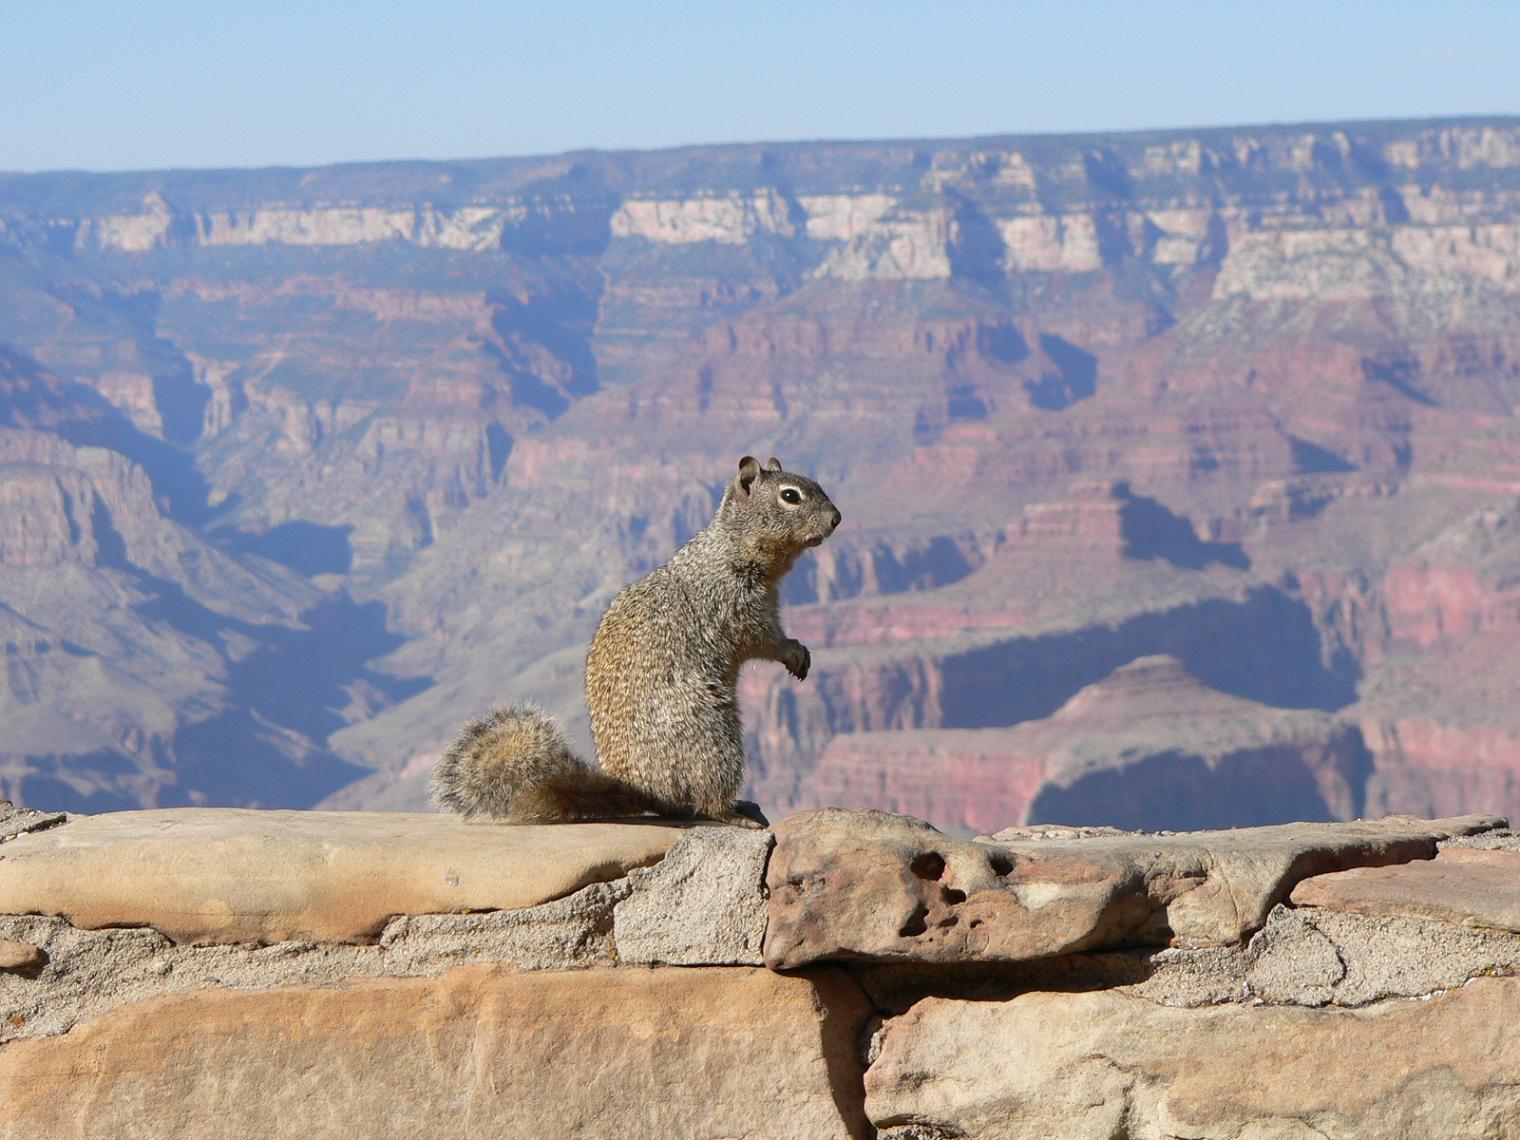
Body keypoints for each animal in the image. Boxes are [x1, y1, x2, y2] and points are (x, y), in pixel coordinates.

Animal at [434, 456, 845, 832]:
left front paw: (800, 651)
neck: (733, 546)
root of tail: (643, 791)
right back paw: (735, 811)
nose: (837, 518)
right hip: (714, 735)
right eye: (789, 496)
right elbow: (760, 638)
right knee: (704, 798)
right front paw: (791, 651)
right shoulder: (733, 604)